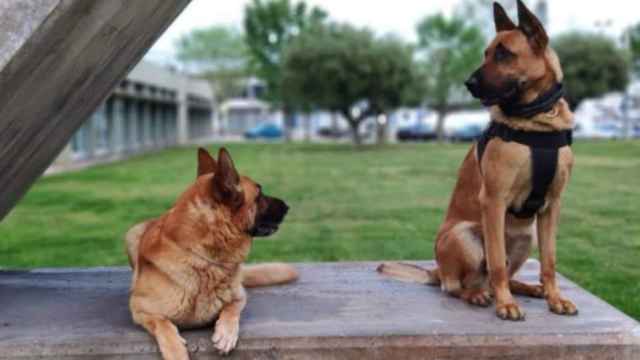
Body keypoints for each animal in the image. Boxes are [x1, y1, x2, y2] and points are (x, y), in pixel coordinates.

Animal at [126, 148, 298, 358]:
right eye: (259, 195)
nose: (288, 206)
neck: (203, 260)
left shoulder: (240, 296)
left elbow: (231, 309)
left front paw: (226, 333)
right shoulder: (139, 308)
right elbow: (163, 324)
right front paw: (176, 351)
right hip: (132, 233)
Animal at [378, 0, 576, 320]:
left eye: (504, 54)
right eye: (486, 53)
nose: (468, 83)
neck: (537, 120)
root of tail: (437, 271)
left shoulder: (551, 206)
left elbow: (549, 261)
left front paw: (555, 298)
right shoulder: (493, 200)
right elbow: (495, 262)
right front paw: (506, 304)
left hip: (527, 237)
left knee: (501, 276)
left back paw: (528, 288)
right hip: (464, 236)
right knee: (458, 286)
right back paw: (478, 295)